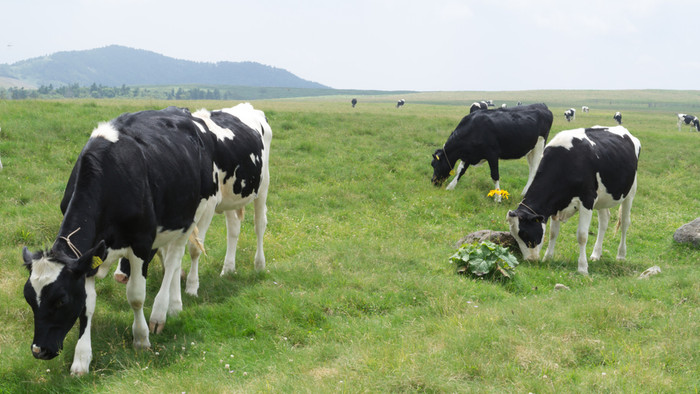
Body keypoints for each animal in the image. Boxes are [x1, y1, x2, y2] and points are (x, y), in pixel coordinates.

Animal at [23, 106, 221, 374]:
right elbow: (87, 305)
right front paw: (81, 359)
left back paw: (163, 311)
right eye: (29, 298)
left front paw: (141, 339)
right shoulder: (90, 255)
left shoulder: (141, 242)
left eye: (61, 299)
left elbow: (136, 296)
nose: (39, 351)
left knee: (175, 259)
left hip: (195, 213)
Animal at [506, 125, 644, 274]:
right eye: (514, 236)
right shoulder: (556, 205)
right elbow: (553, 233)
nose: (530, 260)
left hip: (630, 192)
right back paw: (596, 254)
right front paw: (547, 258)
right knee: (604, 221)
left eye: (525, 234)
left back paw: (621, 255)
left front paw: (582, 268)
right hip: (602, 198)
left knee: (624, 223)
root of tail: (623, 129)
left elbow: (582, 236)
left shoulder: (587, 200)